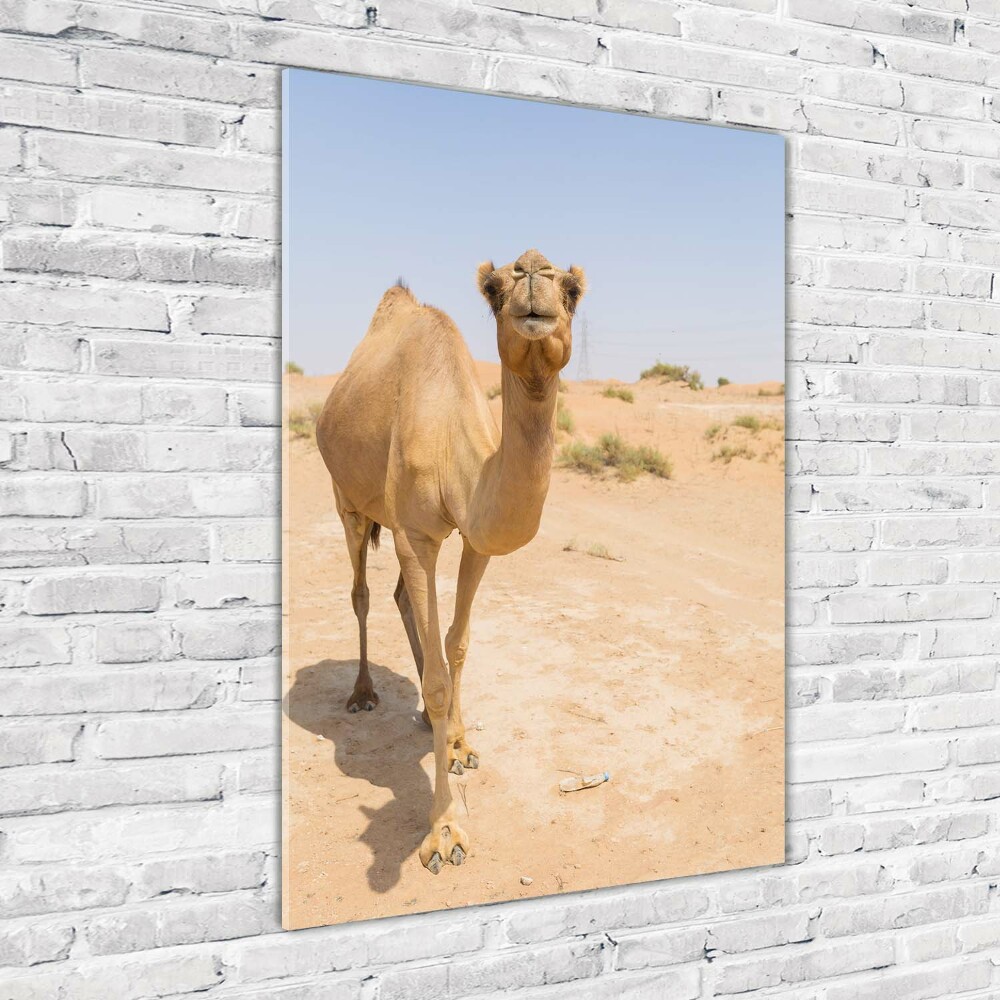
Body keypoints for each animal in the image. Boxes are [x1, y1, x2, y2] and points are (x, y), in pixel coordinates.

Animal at [316, 250, 584, 876]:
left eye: (573, 289)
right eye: (494, 289)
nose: (532, 271)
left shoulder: (475, 539)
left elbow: (456, 646)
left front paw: (459, 745)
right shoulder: (415, 534)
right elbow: (439, 677)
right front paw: (443, 832)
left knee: (396, 599)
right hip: (348, 502)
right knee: (362, 593)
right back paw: (363, 693)